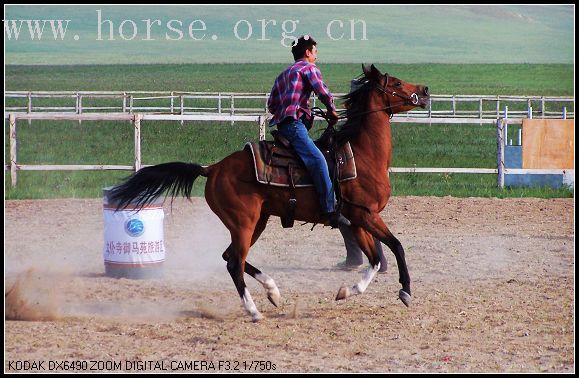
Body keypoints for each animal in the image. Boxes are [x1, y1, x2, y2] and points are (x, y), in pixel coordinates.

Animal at [110, 63, 430, 320]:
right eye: (396, 83)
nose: (425, 90)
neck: (362, 155)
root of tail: (213, 168)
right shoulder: (366, 215)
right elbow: (397, 246)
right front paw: (405, 291)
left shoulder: (359, 219)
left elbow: (375, 259)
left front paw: (347, 291)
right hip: (244, 222)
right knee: (234, 263)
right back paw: (253, 311)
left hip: (257, 222)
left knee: (230, 257)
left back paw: (273, 291)